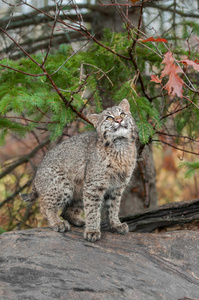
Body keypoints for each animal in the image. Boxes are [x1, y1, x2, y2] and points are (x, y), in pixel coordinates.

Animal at [21, 99, 137, 243]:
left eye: (122, 114)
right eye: (109, 118)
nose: (119, 120)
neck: (120, 145)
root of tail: (37, 172)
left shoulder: (117, 187)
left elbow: (113, 207)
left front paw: (115, 225)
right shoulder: (94, 186)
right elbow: (93, 209)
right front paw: (92, 231)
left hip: (80, 188)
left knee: (66, 212)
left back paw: (80, 222)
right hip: (63, 184)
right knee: (45, 206)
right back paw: (57, 223)